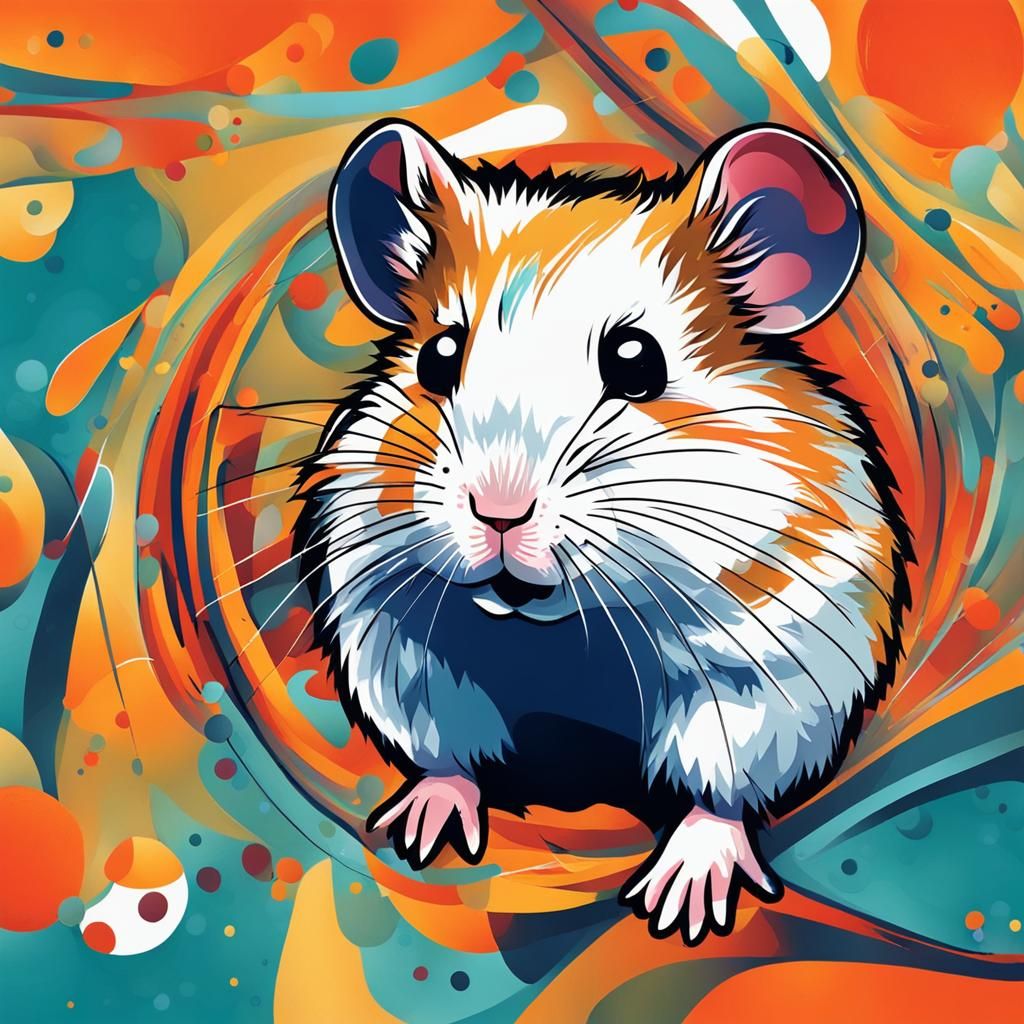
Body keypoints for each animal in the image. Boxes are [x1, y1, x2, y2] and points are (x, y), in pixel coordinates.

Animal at [293, 118, 911, 944]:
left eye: (636, 361)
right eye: (436, 356)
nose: (498, 511)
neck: (572, 633)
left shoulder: (769, 667)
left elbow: (718, 791)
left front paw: (678, 908)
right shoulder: (401, 647)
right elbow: (447, 755)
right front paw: (419, 834)